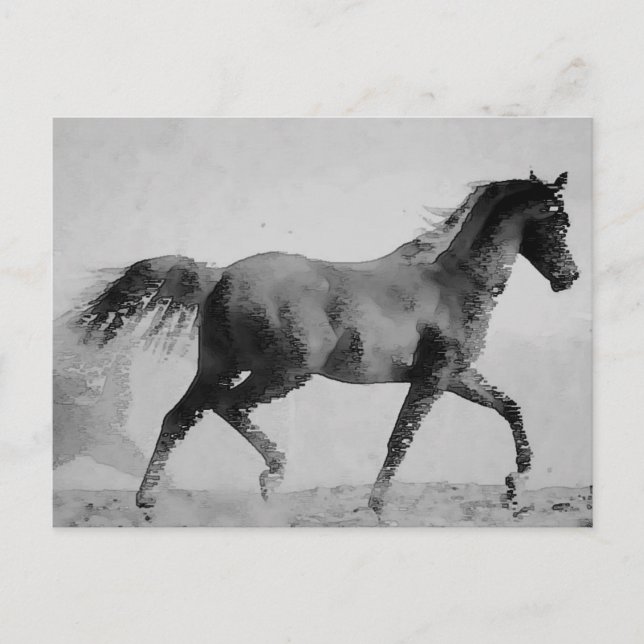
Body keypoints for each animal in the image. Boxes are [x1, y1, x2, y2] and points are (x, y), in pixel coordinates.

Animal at [78, 172, 579, 515]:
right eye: (557, 221)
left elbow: (509, 407)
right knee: (225, 406)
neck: (453, 286)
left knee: (181, 416)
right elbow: (401, 437)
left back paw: (149, 498)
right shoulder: (433, 377)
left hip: (221, 365)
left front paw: (516, 486)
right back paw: (271, 477)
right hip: (285, 370)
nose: (569, 277)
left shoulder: (456, 375)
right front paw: (377, 506)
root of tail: (220, 276)